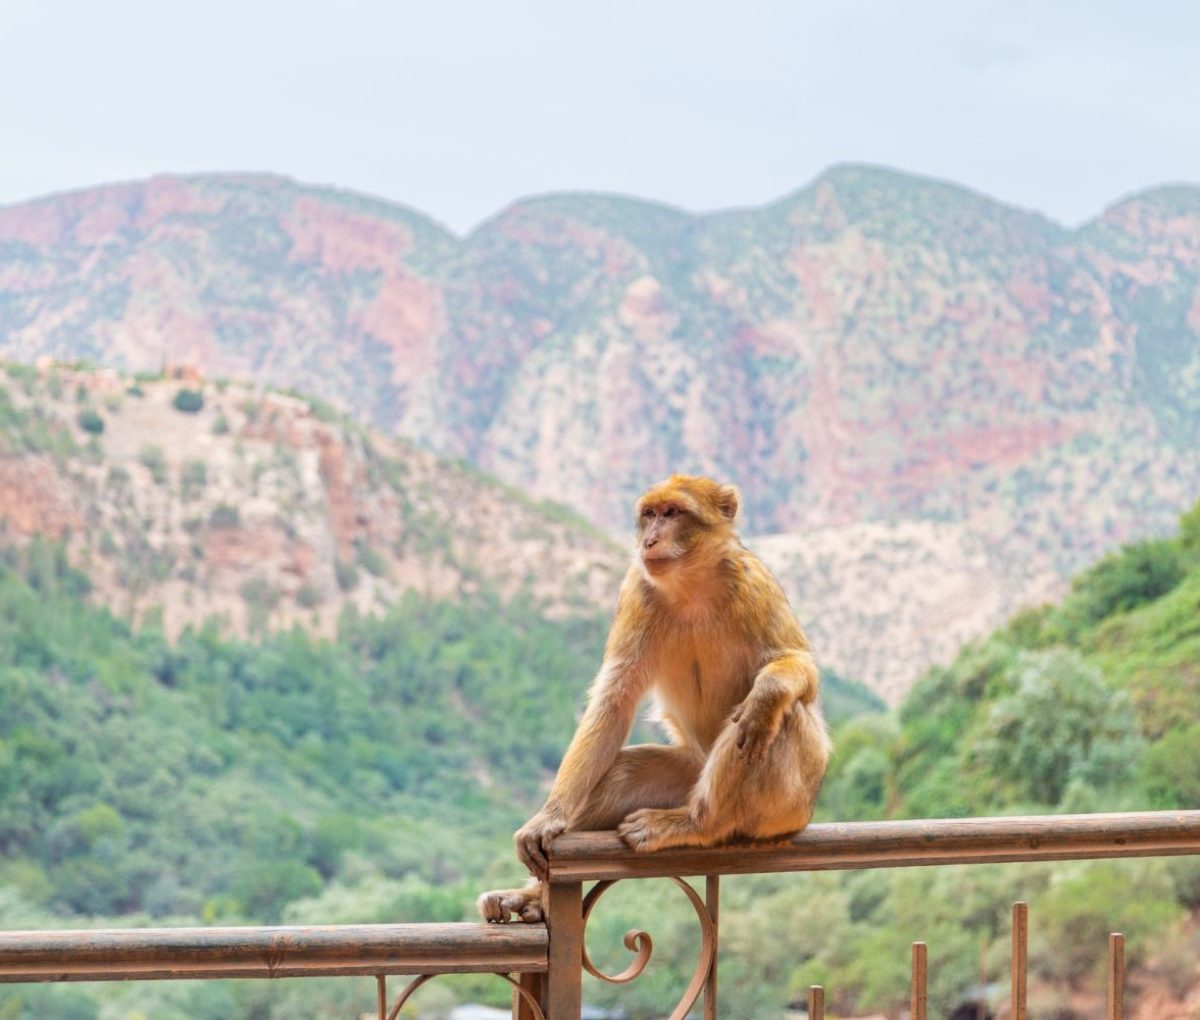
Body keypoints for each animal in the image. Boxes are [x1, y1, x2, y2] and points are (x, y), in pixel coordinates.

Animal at [472, 470, 830, 921]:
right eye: (650, 514)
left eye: (673, 513)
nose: (650, 540)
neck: (692, 584)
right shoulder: (637, 591)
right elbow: (614, 701)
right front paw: (549, 818)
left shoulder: (755, 583)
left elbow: (799, 667)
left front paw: (768, 691)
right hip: (688, 770)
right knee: (623, 772)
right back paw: (532, 897)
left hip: (786, 803)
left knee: (776, 718)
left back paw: (700, 822)